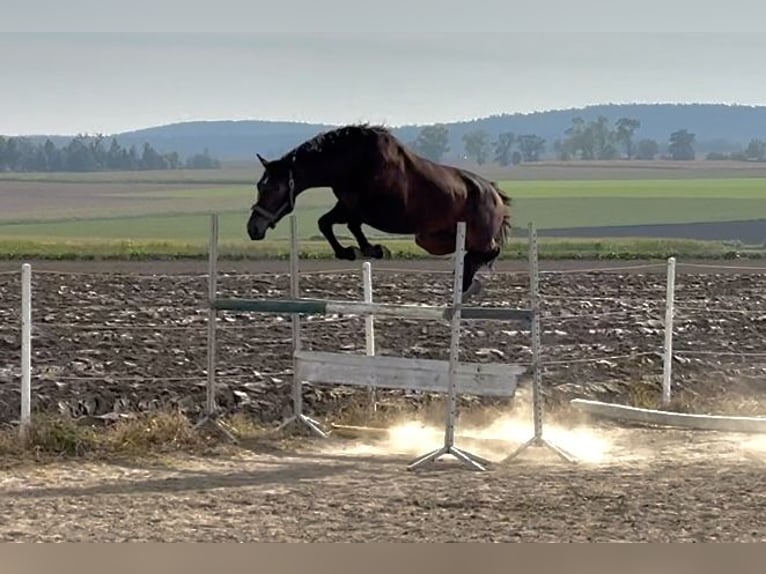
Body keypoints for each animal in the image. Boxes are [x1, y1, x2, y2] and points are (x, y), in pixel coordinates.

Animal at [246, 124, 512, 296]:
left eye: (274, 187)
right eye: (260, 185)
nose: (253, 229)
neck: (351, 163)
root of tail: (495, 193)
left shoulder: (364, 209)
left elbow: (341, 224)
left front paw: (365, 249)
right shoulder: (347, 206)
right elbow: (329, 223)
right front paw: (361, 250)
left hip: (473, 234)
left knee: (490, 250)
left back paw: (467, 284)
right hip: (431, 237)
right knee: (470, 251)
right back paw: (466, 281)